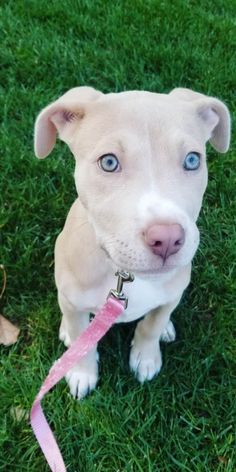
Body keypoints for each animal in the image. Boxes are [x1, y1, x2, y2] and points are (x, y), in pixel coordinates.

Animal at [34, 85, 230, 398]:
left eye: (192, 160)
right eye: (109, 162)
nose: (167, 239)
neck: (125, 275)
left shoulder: (173, 293)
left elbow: (152, 324)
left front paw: (146, 357)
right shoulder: (75, 299)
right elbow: (82, 340)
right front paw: (81, 373)